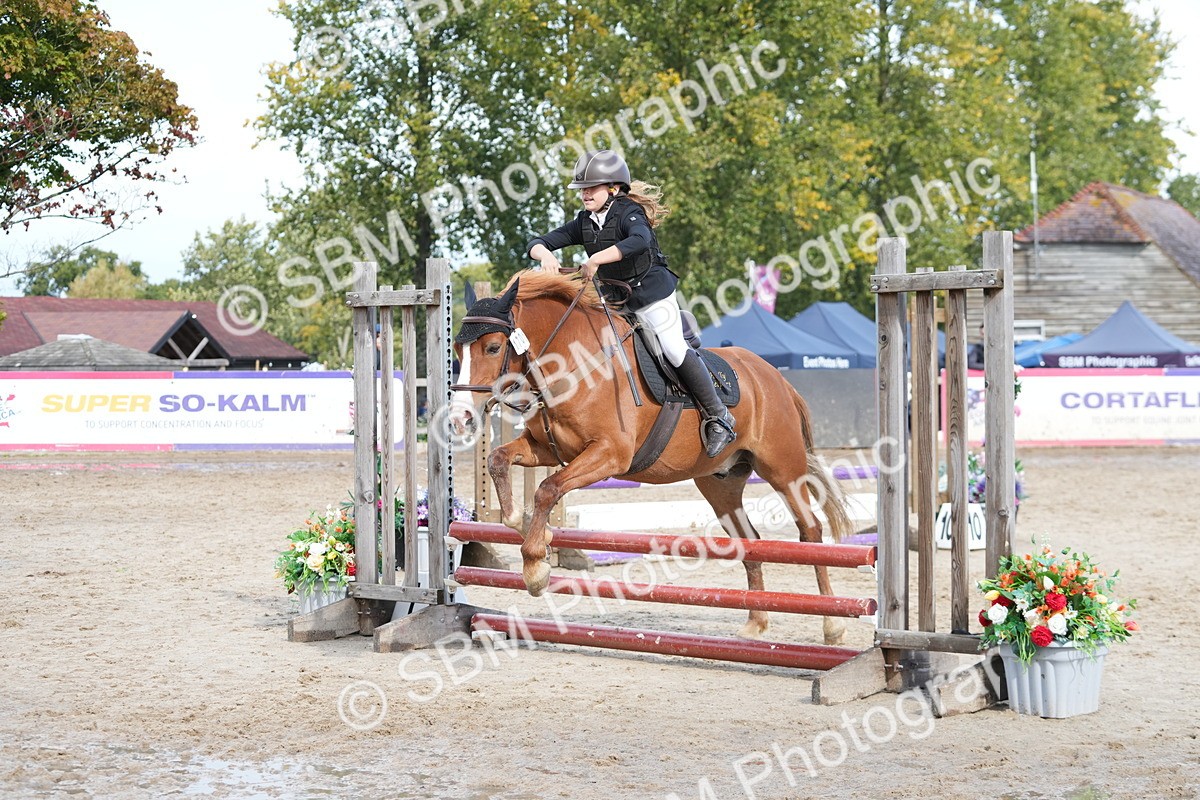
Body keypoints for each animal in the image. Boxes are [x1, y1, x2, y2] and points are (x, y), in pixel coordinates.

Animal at [449, 270, 855, 645]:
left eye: (493, 347)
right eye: (456, 350)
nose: (460, 418)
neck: (573, 363)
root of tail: (775, 379)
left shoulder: (609, 455)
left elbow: (548, 488)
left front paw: (536, 569)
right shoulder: (546, 448)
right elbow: (498, 462)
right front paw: (531, 529)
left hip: (783, 470)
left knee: (810, 531)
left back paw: (832, 624)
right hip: (720, 483)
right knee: (748, 539)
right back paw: (756, 622)